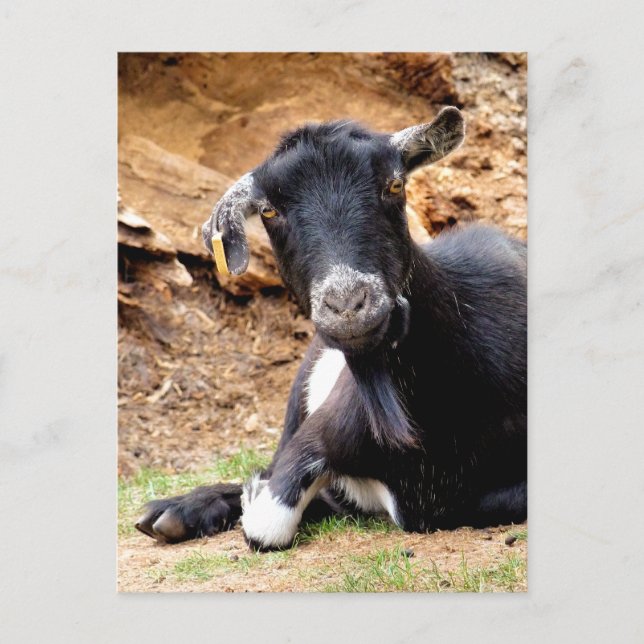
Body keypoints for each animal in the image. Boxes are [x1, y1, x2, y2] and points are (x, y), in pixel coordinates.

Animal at [135, 107, 527, 550]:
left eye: (394, 184)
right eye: (268, 211)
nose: (347, 305)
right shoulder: (318, 434)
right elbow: (268, 520)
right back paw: (174, 512)